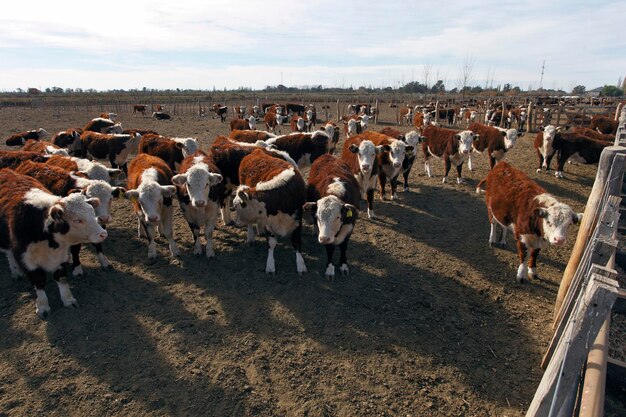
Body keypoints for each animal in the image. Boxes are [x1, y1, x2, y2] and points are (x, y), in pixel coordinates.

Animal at [0, 167, 106, 316]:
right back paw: (15, 271)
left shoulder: (61, 255)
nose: (103, 234)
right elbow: (38, 281)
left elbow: (61, 278)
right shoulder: (26, 259)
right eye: (77, 220)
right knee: (8, 253)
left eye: (92, 213)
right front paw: (43, 306)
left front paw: (68, 300)